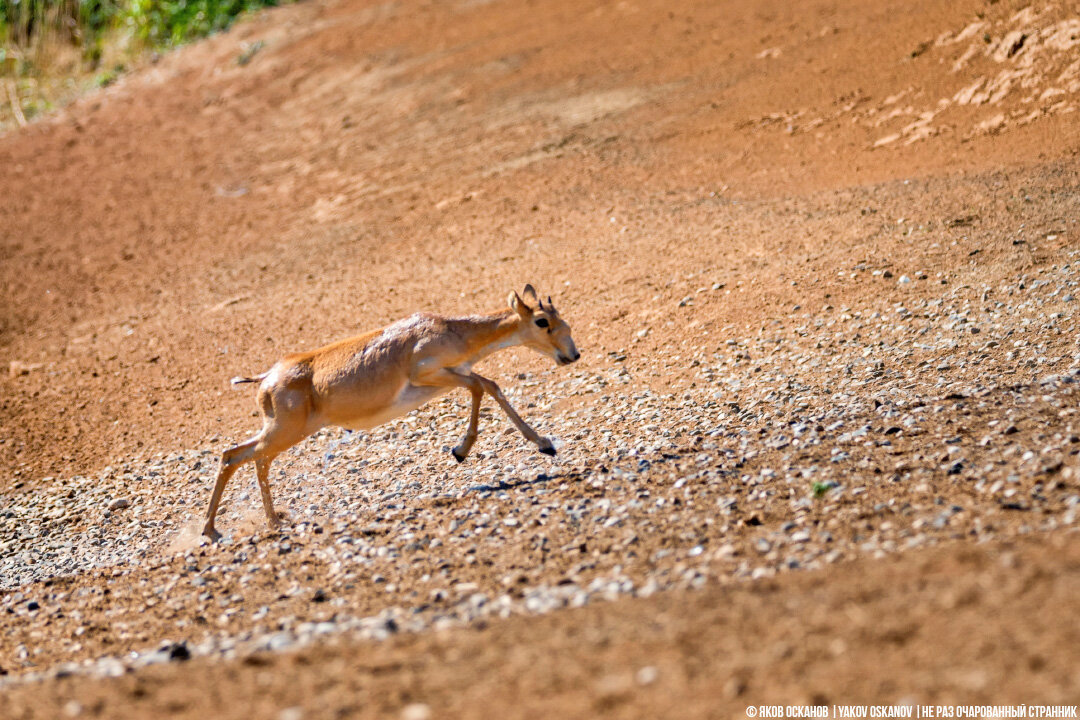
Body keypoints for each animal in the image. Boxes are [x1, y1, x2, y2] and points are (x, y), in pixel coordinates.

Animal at [206, 284, 587, 537]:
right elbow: (481, 387)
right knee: (241, 456)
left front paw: (545, 445)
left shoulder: (453, 376)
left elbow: (489, 385)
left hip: (283, 431)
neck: (453, 331)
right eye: (542, 321)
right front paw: (460, 451)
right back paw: (230, 528)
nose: (572, 355)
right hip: (286, 432)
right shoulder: (431, 375)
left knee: (244, 457)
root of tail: (267, 379)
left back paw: (248, 525)